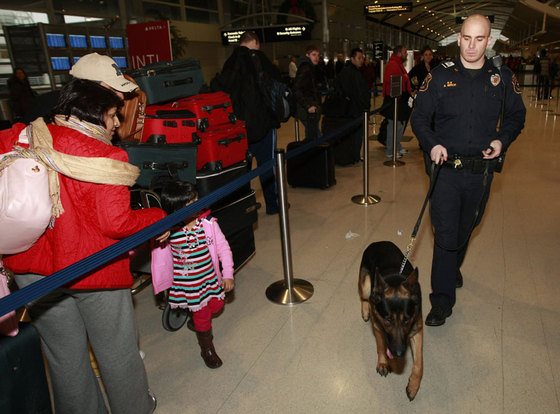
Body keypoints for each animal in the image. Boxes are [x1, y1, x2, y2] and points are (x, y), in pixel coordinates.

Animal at [360, 241, 422, 400]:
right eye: (387, 320)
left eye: (406, 320)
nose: (399, 353)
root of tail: (378, 242)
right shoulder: (377, 326)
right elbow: (381, 345)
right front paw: (383, 363)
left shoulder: (416, 331)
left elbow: (419, 363)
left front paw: (413, 386)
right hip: (366, 285)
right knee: (364, 297)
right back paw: (365, 310)